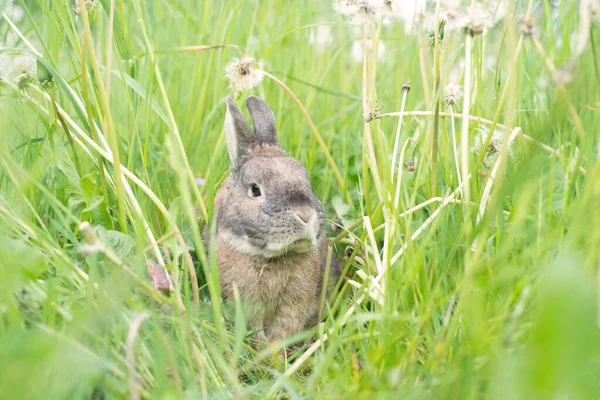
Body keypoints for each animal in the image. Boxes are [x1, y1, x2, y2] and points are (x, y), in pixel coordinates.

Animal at [204, 95, 340, 342]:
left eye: (306, 181)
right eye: (255, 189)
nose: (305, 215)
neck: (271, 258)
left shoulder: (295, 305)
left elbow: (285, 328)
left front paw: (276, 351)